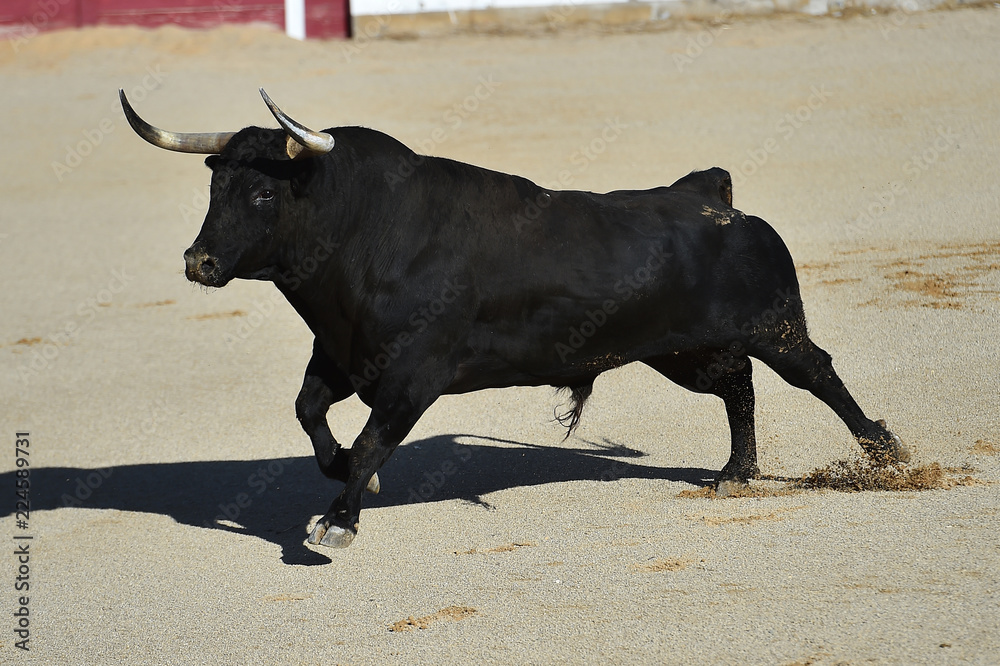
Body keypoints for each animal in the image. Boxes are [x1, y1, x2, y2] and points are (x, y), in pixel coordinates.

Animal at [120, 88, 907, 549]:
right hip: (682, 351)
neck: (363, 228)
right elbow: (310, 412)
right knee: (736, 385)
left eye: (262, 194)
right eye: (217, 184)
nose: (199, 263)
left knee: (817, 374)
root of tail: (712, 196)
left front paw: (339, 519)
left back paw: (886, 453)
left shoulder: (413, 374)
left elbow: (375, 441)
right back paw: (736, 473)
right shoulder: (341, 353)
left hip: (776, 326)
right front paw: (345, 478)